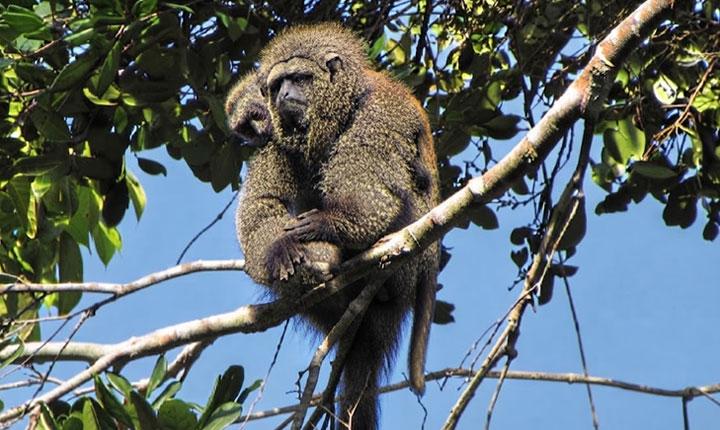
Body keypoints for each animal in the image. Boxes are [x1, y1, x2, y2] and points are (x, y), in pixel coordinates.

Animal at [231, 23, 439, 430]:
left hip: (409, 267)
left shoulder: (377, 116)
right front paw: (281, 250)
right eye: (278, 85)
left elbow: (374, 194)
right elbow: (264, 204)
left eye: (299, 78)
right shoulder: (278, 141)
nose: (284, 96)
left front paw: (327, 225)